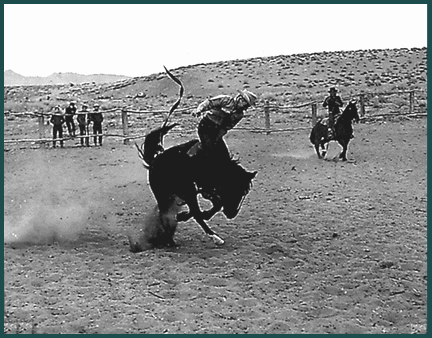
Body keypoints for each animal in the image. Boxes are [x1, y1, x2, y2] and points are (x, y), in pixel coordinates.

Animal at [130, 67, 258, 251]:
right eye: (236, 188)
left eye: (244, 191)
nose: (232, 213)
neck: (218, 165)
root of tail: (155, 162)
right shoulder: (206, 189)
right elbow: (207, 209)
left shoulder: (209, 191)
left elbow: (215, 206)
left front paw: (186, 215)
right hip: (174, 192)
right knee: (175, 214)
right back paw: (202, 238)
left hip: (177, 193)